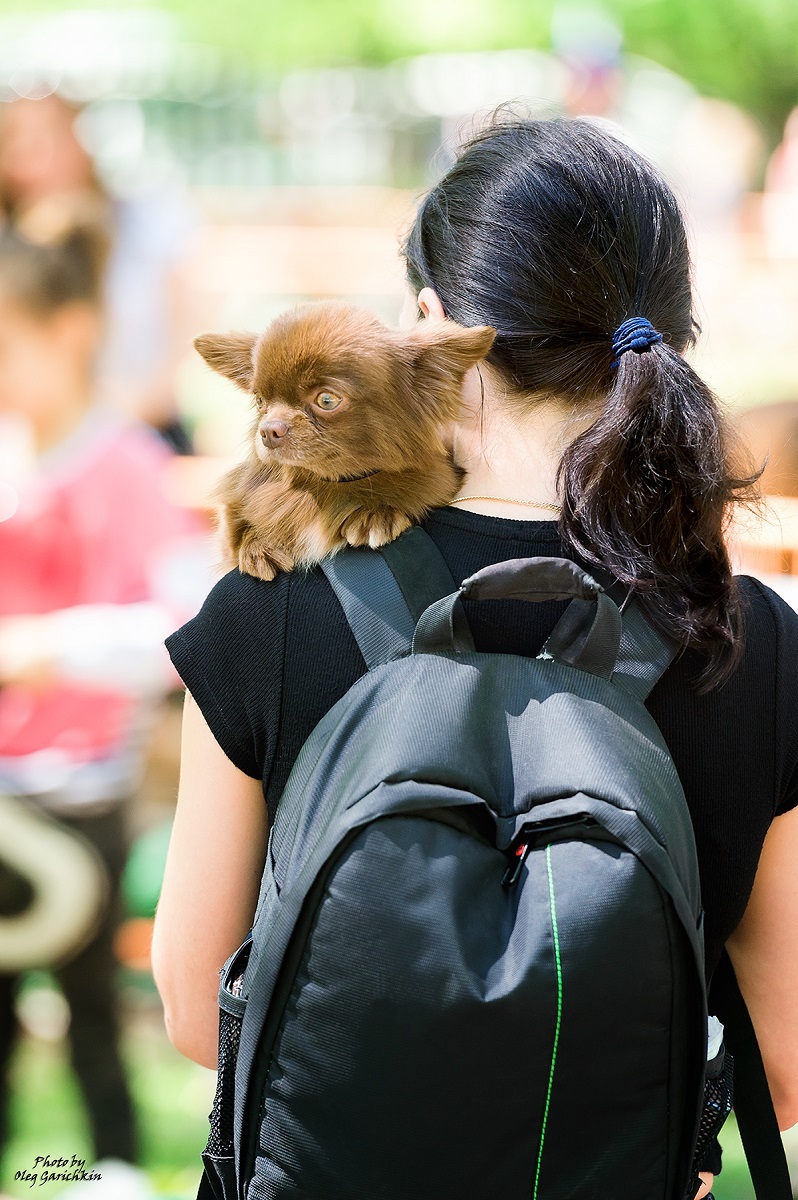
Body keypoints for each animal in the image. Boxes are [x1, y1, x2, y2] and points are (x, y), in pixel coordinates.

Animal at [194, 300, 492, 580]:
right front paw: (258, 544)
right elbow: (235, 531)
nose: (268, 431)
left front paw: (374, 513)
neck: (323, 486)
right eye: (259, 401)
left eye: (326, 400)